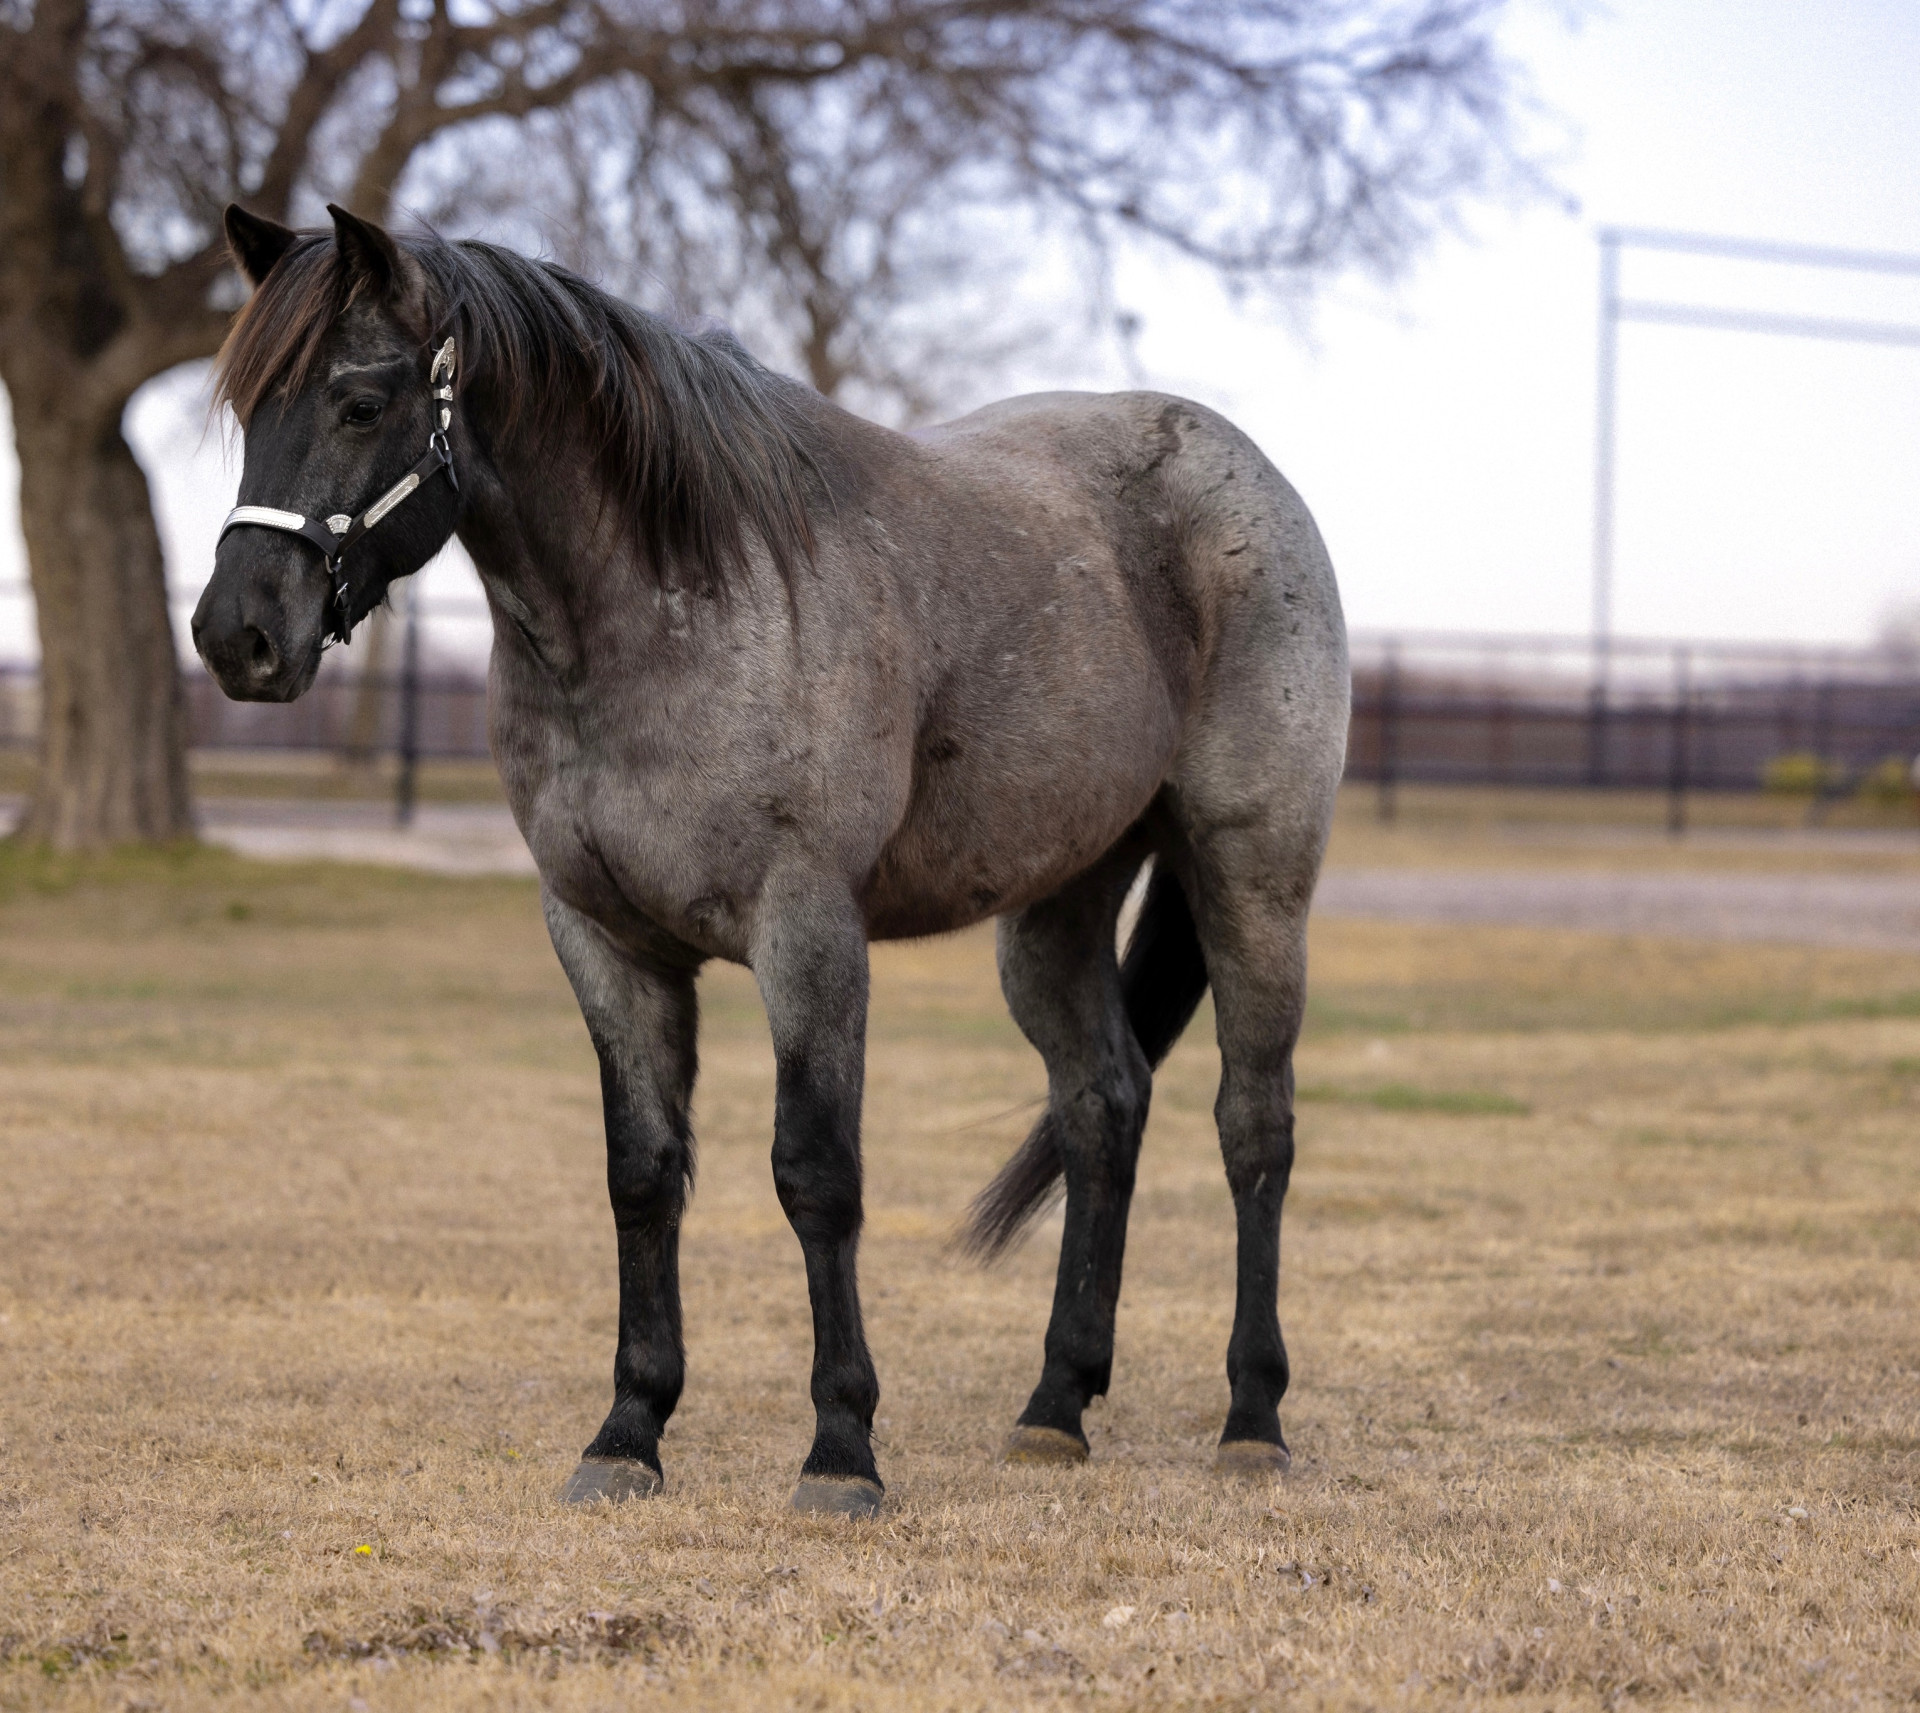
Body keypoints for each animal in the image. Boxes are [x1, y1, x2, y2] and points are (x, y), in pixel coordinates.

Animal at [194, 204, 1349, 1517]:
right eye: (250, 412)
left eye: (360, 400)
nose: (237, 636)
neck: (668, 608)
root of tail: (1244, 475)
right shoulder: (603, 939)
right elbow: (643, 1174)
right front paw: (627, 1434)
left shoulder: (807, 933)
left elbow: (816, 1174)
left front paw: (841, 1450)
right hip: (1056, 907)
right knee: (1104, 1106)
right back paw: (1056, 1407)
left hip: (1251, 881)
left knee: (1254, 1125)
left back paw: (1253, 1418)